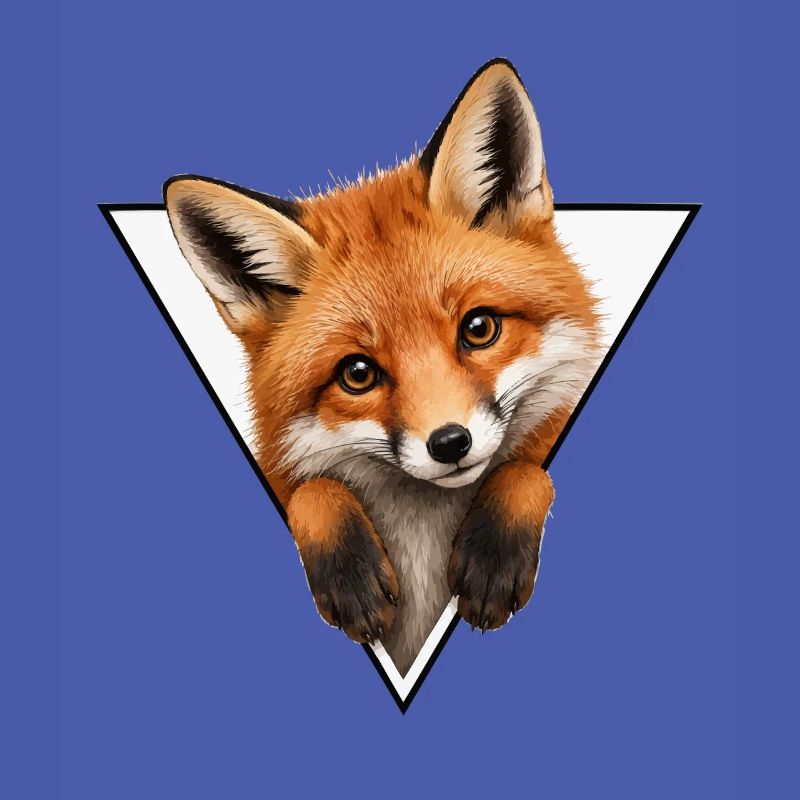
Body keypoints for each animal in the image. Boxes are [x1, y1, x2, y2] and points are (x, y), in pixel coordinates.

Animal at [164, 59, 602, 675]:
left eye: (479, 328)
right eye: (358, 373)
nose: (450, 443)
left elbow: (528, 470)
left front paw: (494, 551)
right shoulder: (283, 472)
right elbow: (310, 491)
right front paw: (349, 571)